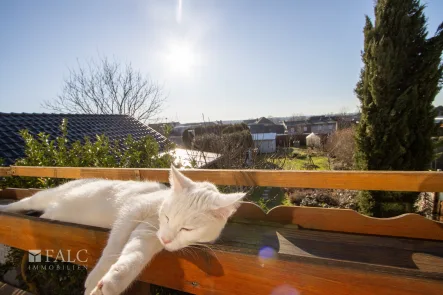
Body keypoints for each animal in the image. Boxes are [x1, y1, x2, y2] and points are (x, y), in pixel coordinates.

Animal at [0, 166, 246, 295]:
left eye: (187, 229)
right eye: (167, 216)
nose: (166, 239)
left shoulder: (149, 233)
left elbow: (134, 254)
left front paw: (112, 281)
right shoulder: (132, 211)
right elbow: (114, 247)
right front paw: (95, 279)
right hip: (44, 196)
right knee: (22, 203)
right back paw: (4, 208)